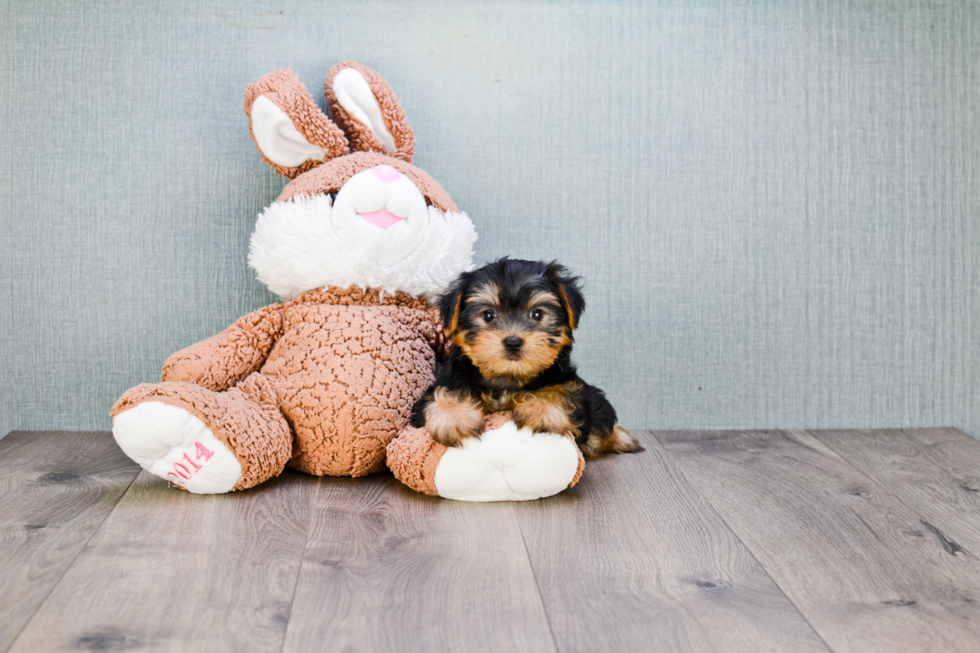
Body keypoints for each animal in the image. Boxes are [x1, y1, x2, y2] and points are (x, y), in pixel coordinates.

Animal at [408, 258, 644, 456]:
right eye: (488, 315)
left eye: (537, 314)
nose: (513, 341)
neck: (507, 379)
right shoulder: (446, 382)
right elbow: (441, 394)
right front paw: (455, 417)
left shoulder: (569, 382)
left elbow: (563, 390)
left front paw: (542, 408)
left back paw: (622, 438)